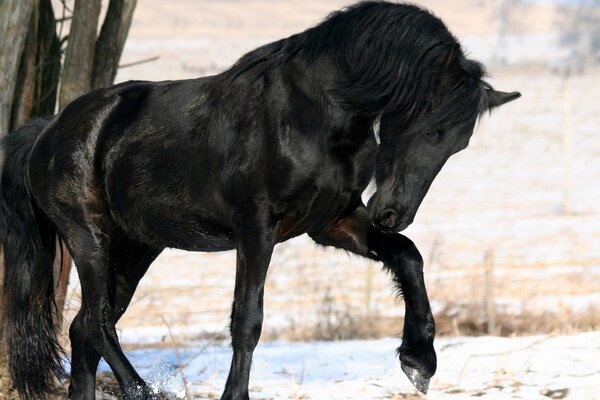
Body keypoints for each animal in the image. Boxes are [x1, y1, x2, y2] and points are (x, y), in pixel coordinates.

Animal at [0, 1, 516, 398]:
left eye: (459, 144)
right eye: (430, 128)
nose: (394, 213)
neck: (315, 115)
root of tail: (47, 130)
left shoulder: (332, 222)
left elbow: (409, 257)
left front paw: (419, 360)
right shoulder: (256, 228)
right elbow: (247, 320)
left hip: (136, 246)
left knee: (84, 330)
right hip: (89, 237)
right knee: (98, 321)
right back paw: (146, 390)